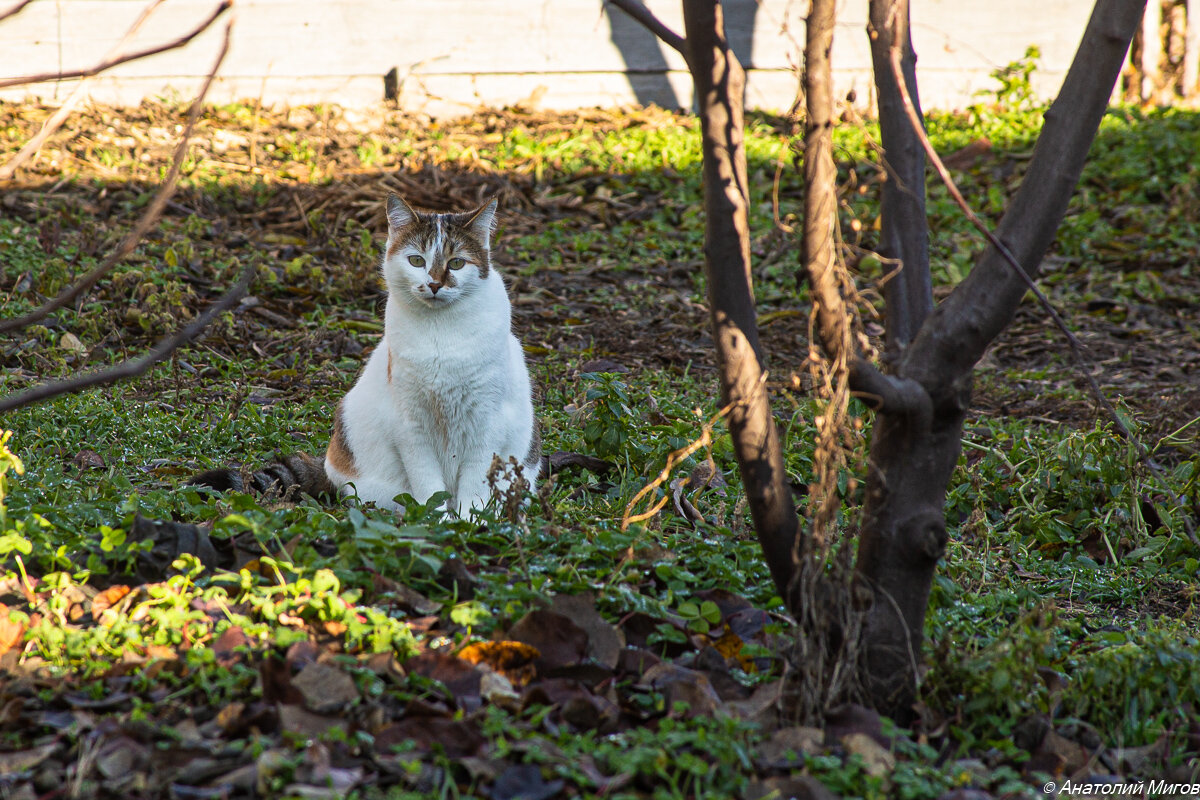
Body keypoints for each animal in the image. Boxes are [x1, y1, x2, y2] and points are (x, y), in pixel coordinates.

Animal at [193, 196, 544, 515]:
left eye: (456, 263)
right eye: (416, 261)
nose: (434, 284)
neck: (440, 332)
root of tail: (328, 465)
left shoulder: (486, 421)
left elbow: (475, 483)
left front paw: (471, 523)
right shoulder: (410, 422)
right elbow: (430, 487)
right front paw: (441, 522)